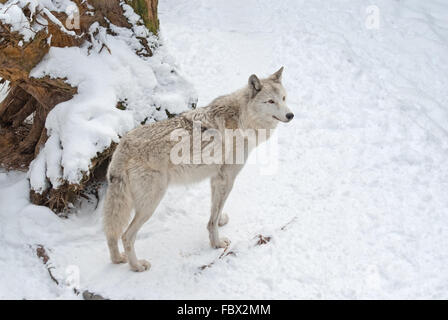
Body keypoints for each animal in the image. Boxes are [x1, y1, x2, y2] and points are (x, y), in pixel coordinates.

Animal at [101, 67, 294, 270]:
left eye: (283, 98)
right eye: (270, 101)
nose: (291, 115)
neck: (243, 118)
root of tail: (123, 146)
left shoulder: (215, 178)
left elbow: (215, 212)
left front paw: (221, 221)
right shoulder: (226, 178)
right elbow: (212, 220)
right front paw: (217, 244)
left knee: (111, 233)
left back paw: (117, 259)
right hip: (150, 203)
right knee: (126, 236)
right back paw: (137, 266)